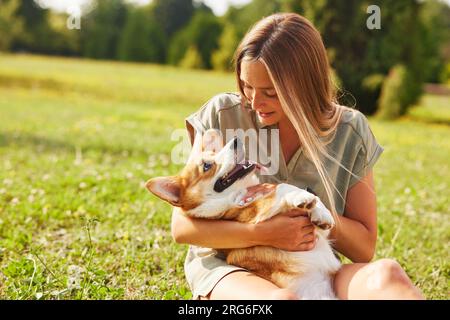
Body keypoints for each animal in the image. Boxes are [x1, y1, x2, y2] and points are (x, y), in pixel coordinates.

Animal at [146, 129, 340, 298]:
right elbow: (282, 188)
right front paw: (302, 197)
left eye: (215, 152)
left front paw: (321, 213)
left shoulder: (318, 234)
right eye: (207, 166)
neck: (240, 193)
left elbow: (313, 207)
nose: (236, 140)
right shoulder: (253, 214)